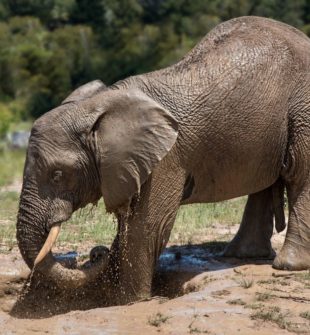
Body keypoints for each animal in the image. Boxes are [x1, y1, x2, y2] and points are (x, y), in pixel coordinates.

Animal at [15, 15, 310, 304]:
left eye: (57, 174)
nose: (93, 253)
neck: (100, 105)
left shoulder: (166, 159)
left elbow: (146, 227)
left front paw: (131, 301)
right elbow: (128, 225)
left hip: (302, 107)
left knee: (299, 172)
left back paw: (286, 265)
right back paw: (240, 255)